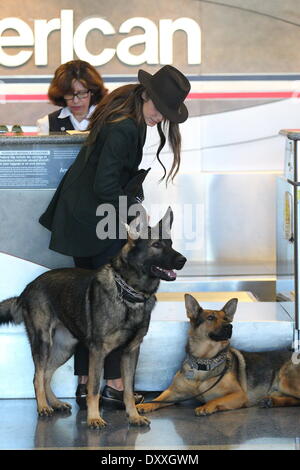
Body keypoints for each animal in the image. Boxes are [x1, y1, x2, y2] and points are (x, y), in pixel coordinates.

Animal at [0, 207, 186, 428]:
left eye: (171, 244)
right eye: (156, 245)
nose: (183, 260)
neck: (129, 294)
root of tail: (28, 287)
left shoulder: (131, 352)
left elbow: (129, 391)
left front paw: (133, 416)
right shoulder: (98, 352)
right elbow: (94, 388)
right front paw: (94, 418)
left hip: (66, 348)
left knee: (46, 375)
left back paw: (55, 403)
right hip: (44, 343)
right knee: (38, 376)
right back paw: (43, 406)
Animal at [138, 294, 300, 414]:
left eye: (226, 319)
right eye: (210, 318)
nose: (230, 326)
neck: (204, 362)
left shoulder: (239, 394)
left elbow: (215, 400)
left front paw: (206, 406)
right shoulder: (173, 392)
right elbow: (158, 398)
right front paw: (144, 405)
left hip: (286, 381)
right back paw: (271, 401)